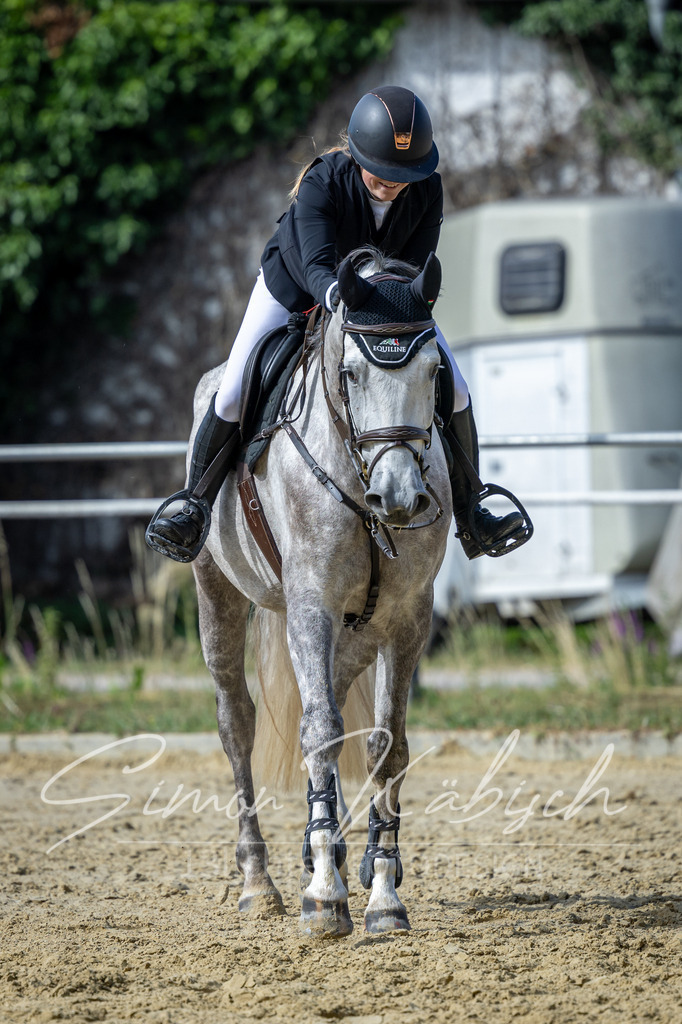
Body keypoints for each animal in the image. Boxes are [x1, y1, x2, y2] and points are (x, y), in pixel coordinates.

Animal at [191, 246, 452, 937]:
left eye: (435, 371)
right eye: (353, 373)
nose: (399, 497)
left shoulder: (407, 618)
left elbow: (387, 745)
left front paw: (382, 893)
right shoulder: (310, 607)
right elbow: (321, 733)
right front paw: (324, 898)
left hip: (357, 630)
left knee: (331, 694)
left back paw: (327, 851)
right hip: (217, 593)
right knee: (239, 722)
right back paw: (260, 882)